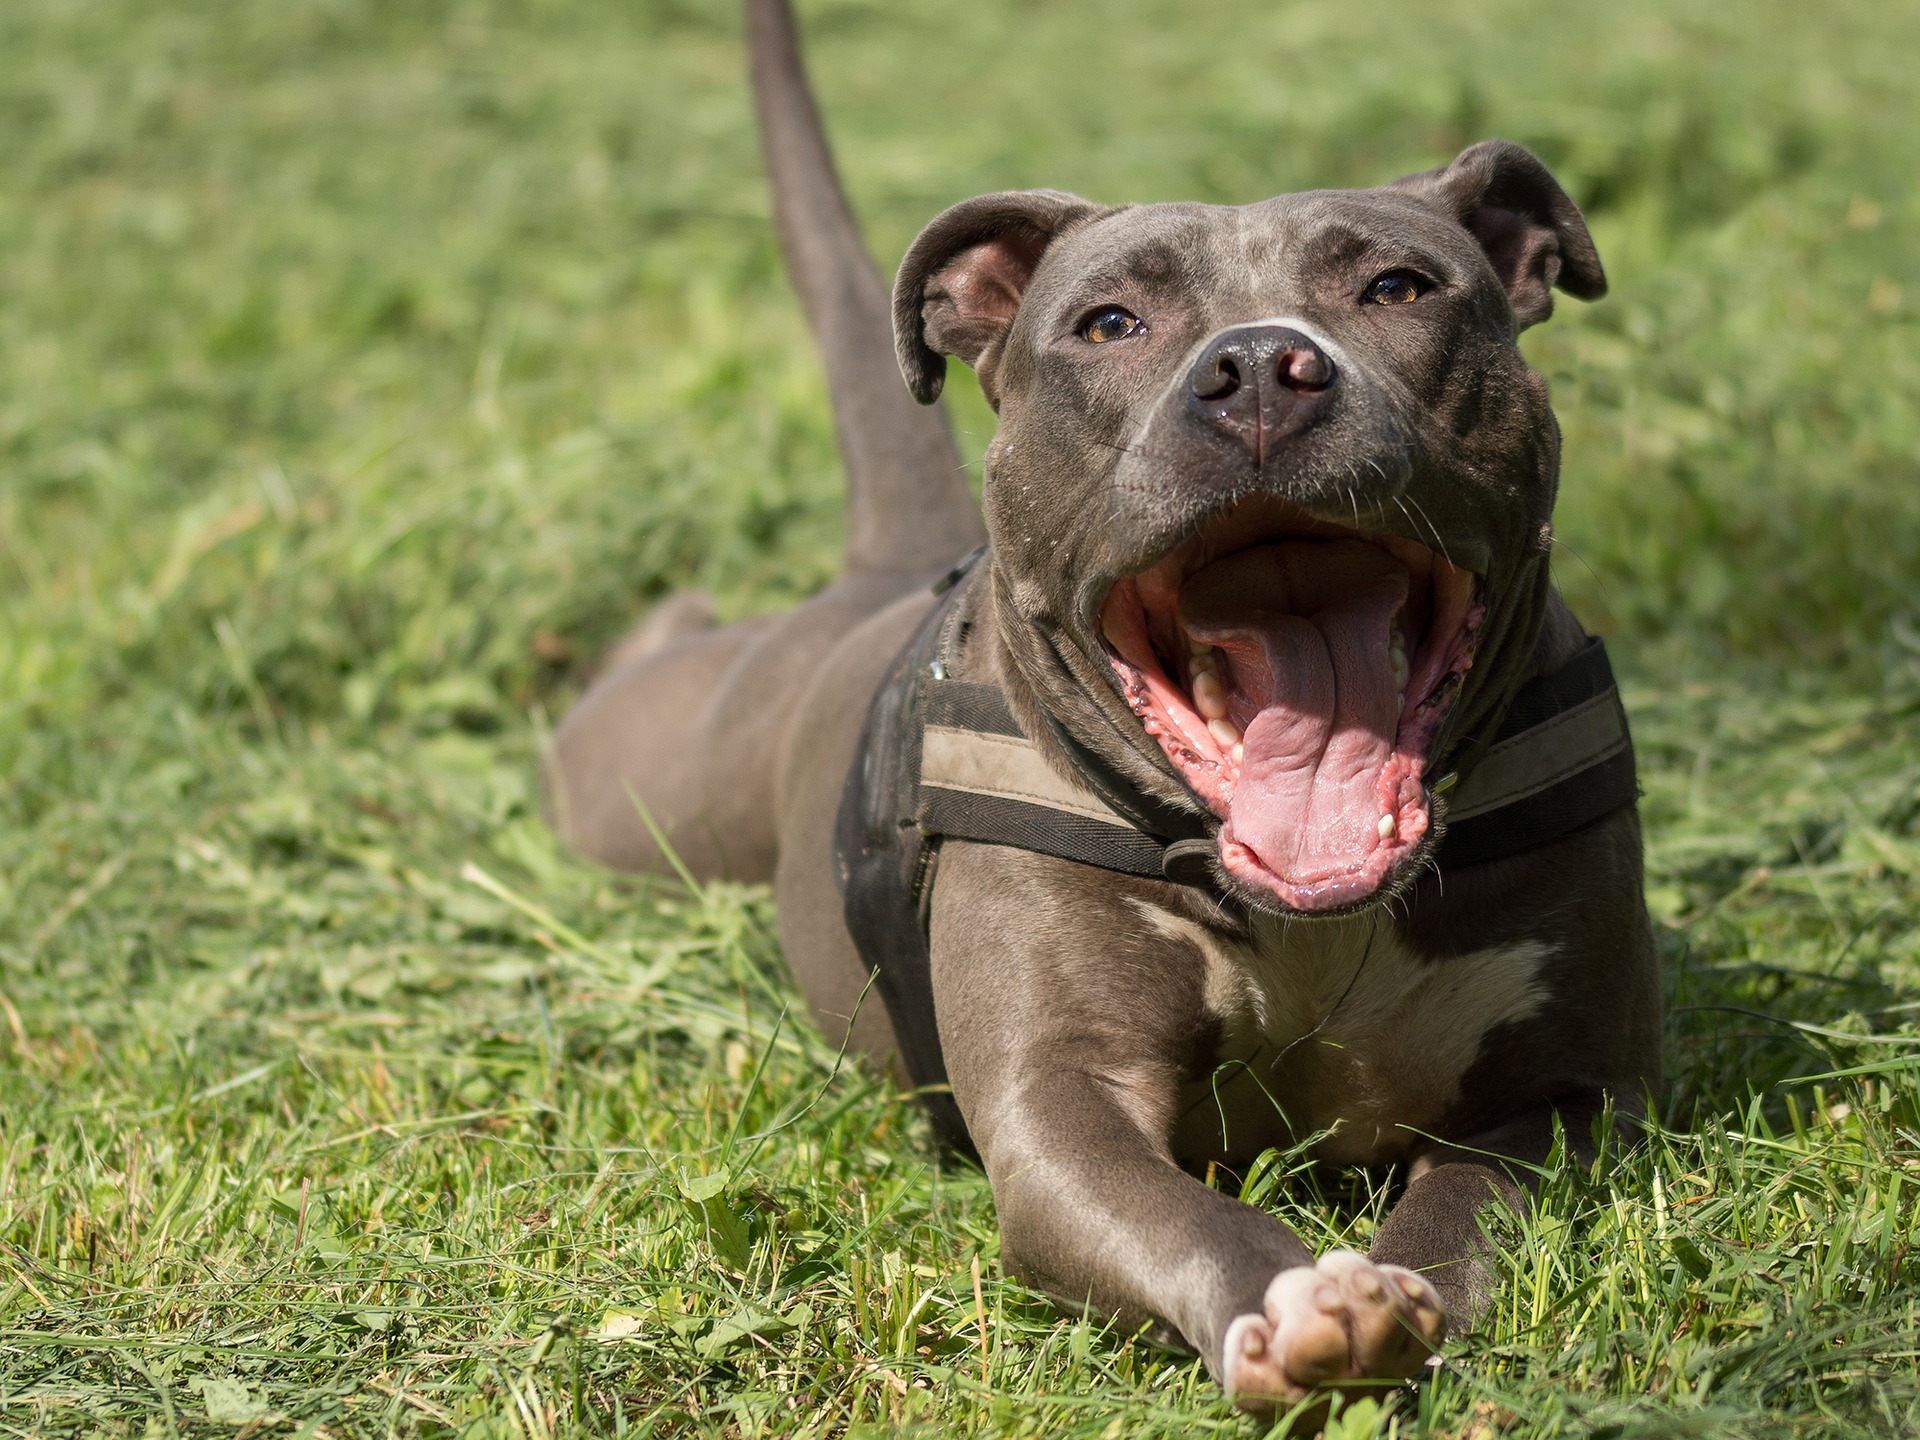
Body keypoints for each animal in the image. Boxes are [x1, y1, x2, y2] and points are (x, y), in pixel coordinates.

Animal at [545, 0, 1666, 1420]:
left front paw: (1400, 1292)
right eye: (1109, 322)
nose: (1259, 368)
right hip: (646, 784)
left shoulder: (1580, 1086)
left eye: (1400, 289)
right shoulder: (1058, 1109)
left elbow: (1469, 1201)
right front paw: (1293, 1299)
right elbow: (1179, 1210)